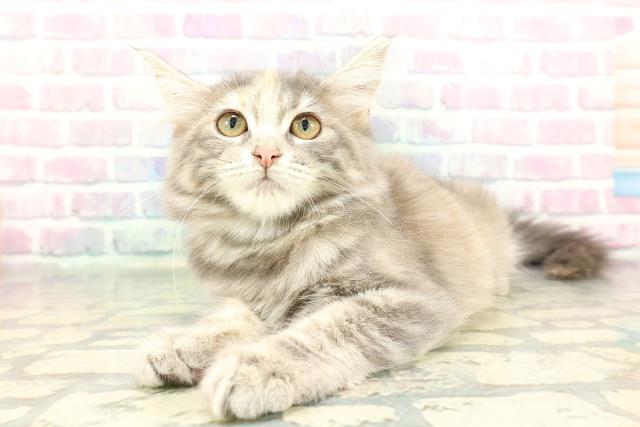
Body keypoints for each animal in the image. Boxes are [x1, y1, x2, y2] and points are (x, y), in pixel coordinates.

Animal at [133, 38, 606, 420]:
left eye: (305, 125)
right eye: (231, 123)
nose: (266, 153)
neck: (272, 241)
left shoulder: (413, 298)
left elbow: (326, 329)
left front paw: (257, 368)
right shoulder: (251, 296)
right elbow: (236, 317)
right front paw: (183, 343)